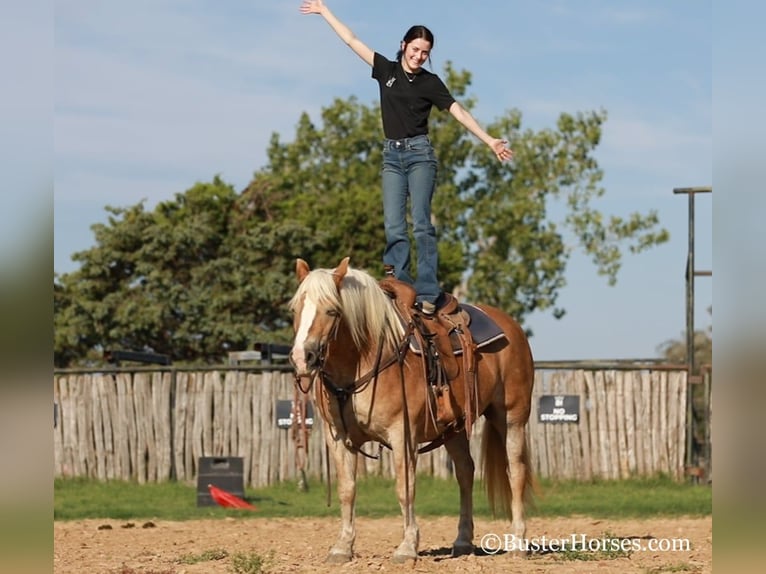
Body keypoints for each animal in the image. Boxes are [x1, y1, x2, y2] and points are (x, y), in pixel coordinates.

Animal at [292, 258, 536, 564]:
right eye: (295, 309)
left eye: (332, 310)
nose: (303, 358)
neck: (364, 358)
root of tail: (512, 327)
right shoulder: (338, 438)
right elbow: (347, 490)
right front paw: (342, 547)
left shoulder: (402, 434)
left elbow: (404, 488)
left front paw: (407, 547)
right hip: (454, 428)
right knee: (465, 472)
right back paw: (462, 541)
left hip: (512, 417)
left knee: (515, 471)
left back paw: (518, 542)